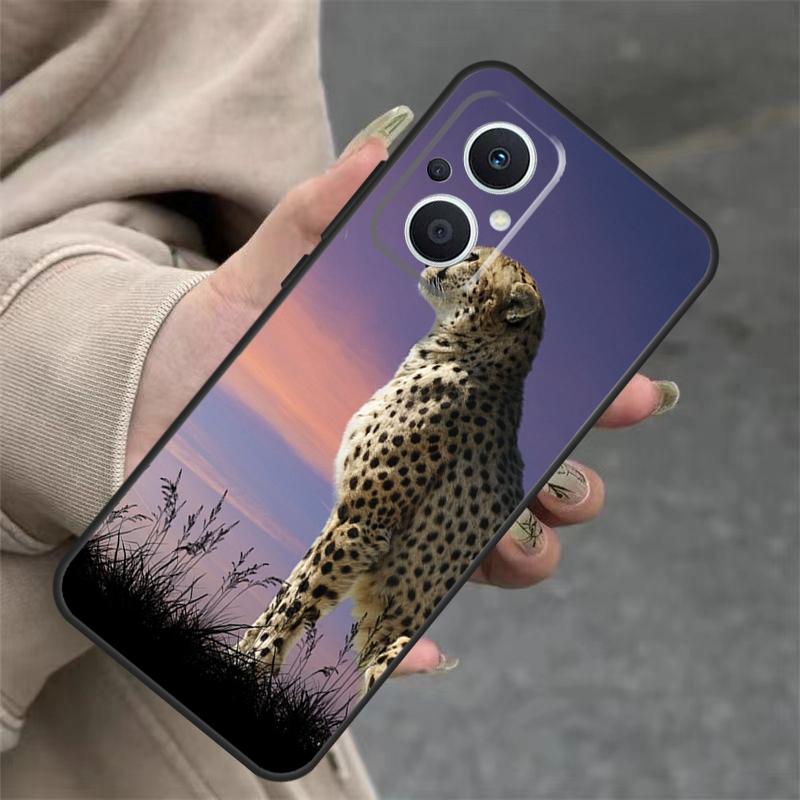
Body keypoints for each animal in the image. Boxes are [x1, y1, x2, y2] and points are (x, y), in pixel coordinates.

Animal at [237, 245, 545, 691]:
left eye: (473, 258)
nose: (435, 263)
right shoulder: (347, 514)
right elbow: (290, 587)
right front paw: (239, 652)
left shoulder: (364, 523)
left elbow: (300, 598)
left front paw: (249, 667)